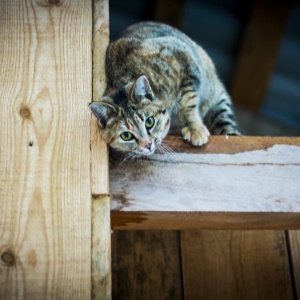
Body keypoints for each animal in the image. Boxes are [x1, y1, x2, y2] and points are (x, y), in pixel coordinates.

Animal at [89, 21, 239, 155]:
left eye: (149, 122)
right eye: (126, 136)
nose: (147, 145)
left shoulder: (185, 63)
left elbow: (188, 102)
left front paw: (194, 128)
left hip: (215, 95)